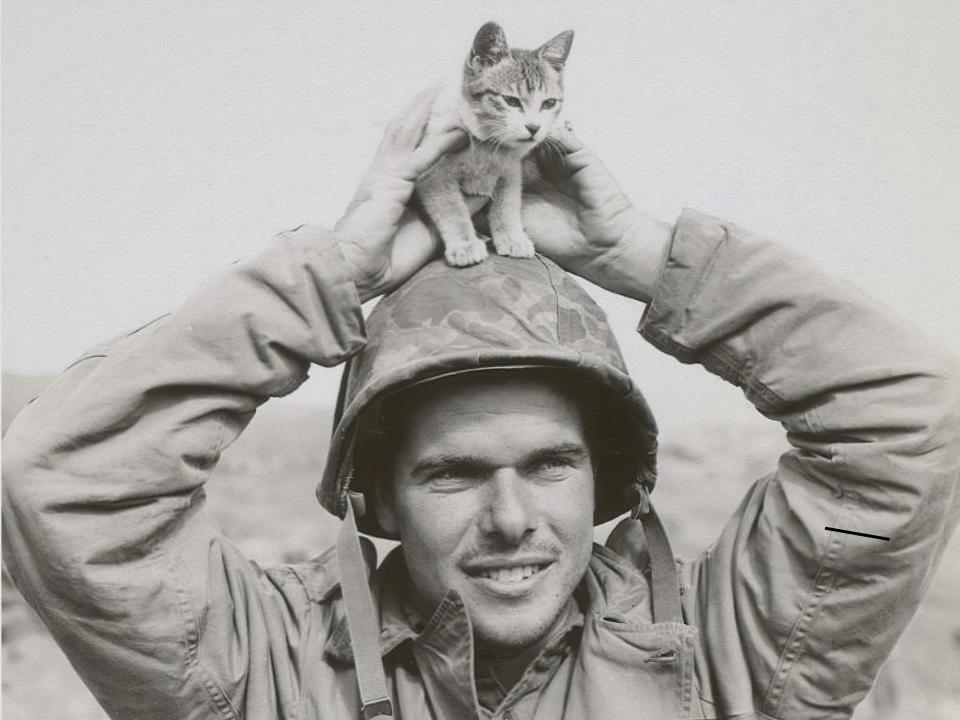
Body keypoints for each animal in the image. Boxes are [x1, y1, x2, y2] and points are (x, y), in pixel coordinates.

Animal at [418, 21, 568, 268]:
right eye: (511, 101)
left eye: (549, 103)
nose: (534, 128)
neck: (487, 145)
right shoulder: (432, 173)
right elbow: (450, 207)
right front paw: (465, 244)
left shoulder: (511, 171)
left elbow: (507, 204)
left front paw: (512, 236)